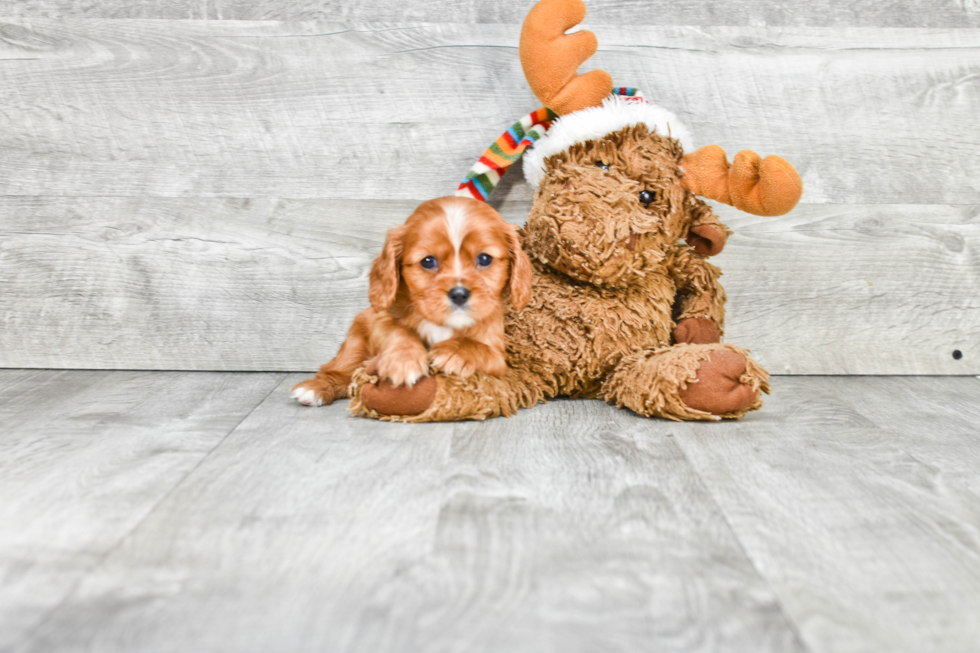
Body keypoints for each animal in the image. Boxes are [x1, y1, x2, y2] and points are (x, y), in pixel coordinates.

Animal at [290, 196, 532, 404]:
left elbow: (477, 347)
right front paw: (403, 361)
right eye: (428, 261)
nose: (459, 294)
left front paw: (453, 351)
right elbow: (398, 332)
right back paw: (314, 389)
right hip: (355, 341)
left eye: (484, 259)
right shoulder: (381, 322)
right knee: (338, 370)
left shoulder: (497, 356)